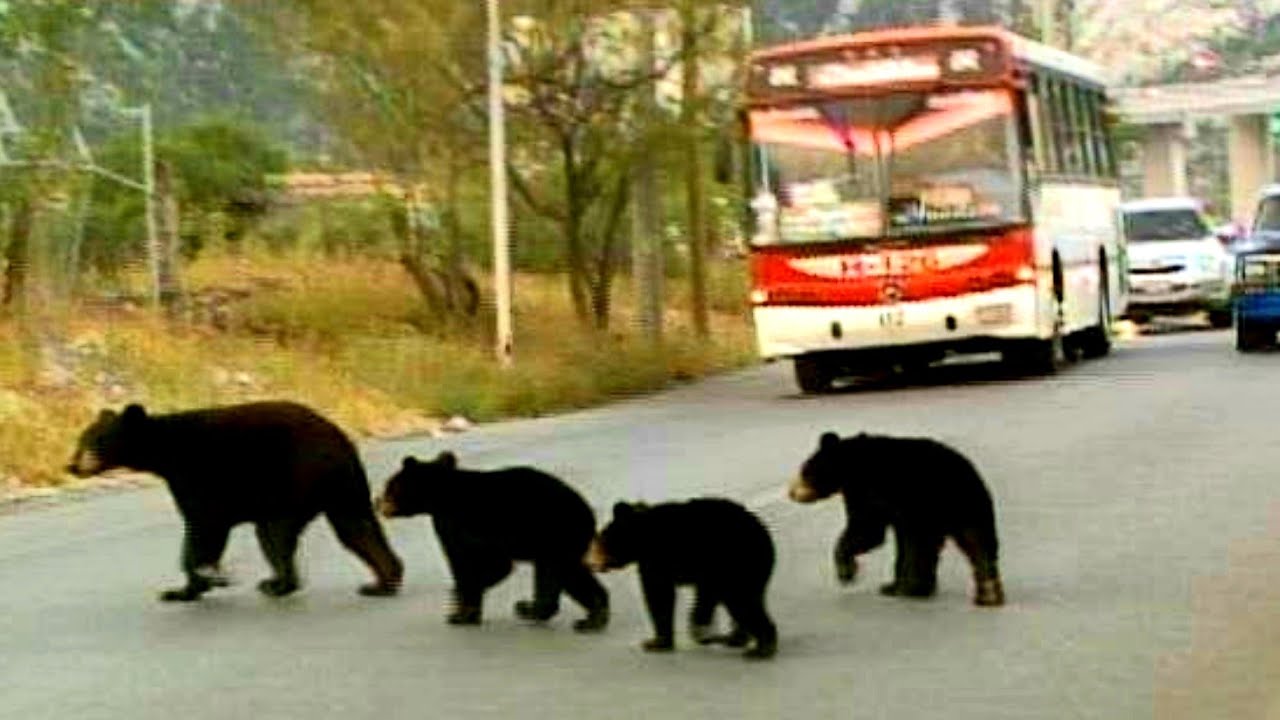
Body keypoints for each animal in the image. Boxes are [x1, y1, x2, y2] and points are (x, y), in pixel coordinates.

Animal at [67, 402, 404, 602]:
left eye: (95, 441)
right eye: (80, 439)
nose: (72, 465)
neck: (166, 453)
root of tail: (341, 444)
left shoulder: (199, 476)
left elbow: (202, 527)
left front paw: (194, 583)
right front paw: (191, 586)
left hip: (291, 482)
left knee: (274, 533)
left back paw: (278, 584)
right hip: (344, 490)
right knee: (356, 527)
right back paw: (384, 582)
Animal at [375, 452, 609, 632]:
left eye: (388, 485)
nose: (377, 502)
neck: (440, 496)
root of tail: (587, 512)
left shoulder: (459, 523)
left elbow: (475, 562)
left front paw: (459, 610)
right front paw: (468, 609)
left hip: (552, 534)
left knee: (551, 572)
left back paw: (530, 608)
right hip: (567, 541)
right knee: (572, 574)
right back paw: (593, 616)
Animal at [587, 498, 778, 660]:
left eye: (600, 538)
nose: (589, 562)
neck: (643, 537)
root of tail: (767, 538)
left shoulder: (659, 559)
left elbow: (658, 594)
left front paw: (657, 642)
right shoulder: (708, 573)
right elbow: (704, 595)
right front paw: (700, 630)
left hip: (740, 565)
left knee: (741, 601)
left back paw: (761, 647)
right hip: (750, 572)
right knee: (748, 600)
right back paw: (737, 637)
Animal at [788, 431, 1004, 607]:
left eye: (804, 471)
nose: (791, 493)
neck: (851, 465)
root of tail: (965, 477)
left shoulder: (868, 489)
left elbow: (866, 529)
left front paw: (846, 572)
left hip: (926, 505)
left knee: (921, 545)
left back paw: (909, 588)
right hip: (969, 509)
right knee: (977, 542)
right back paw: (988, 592)